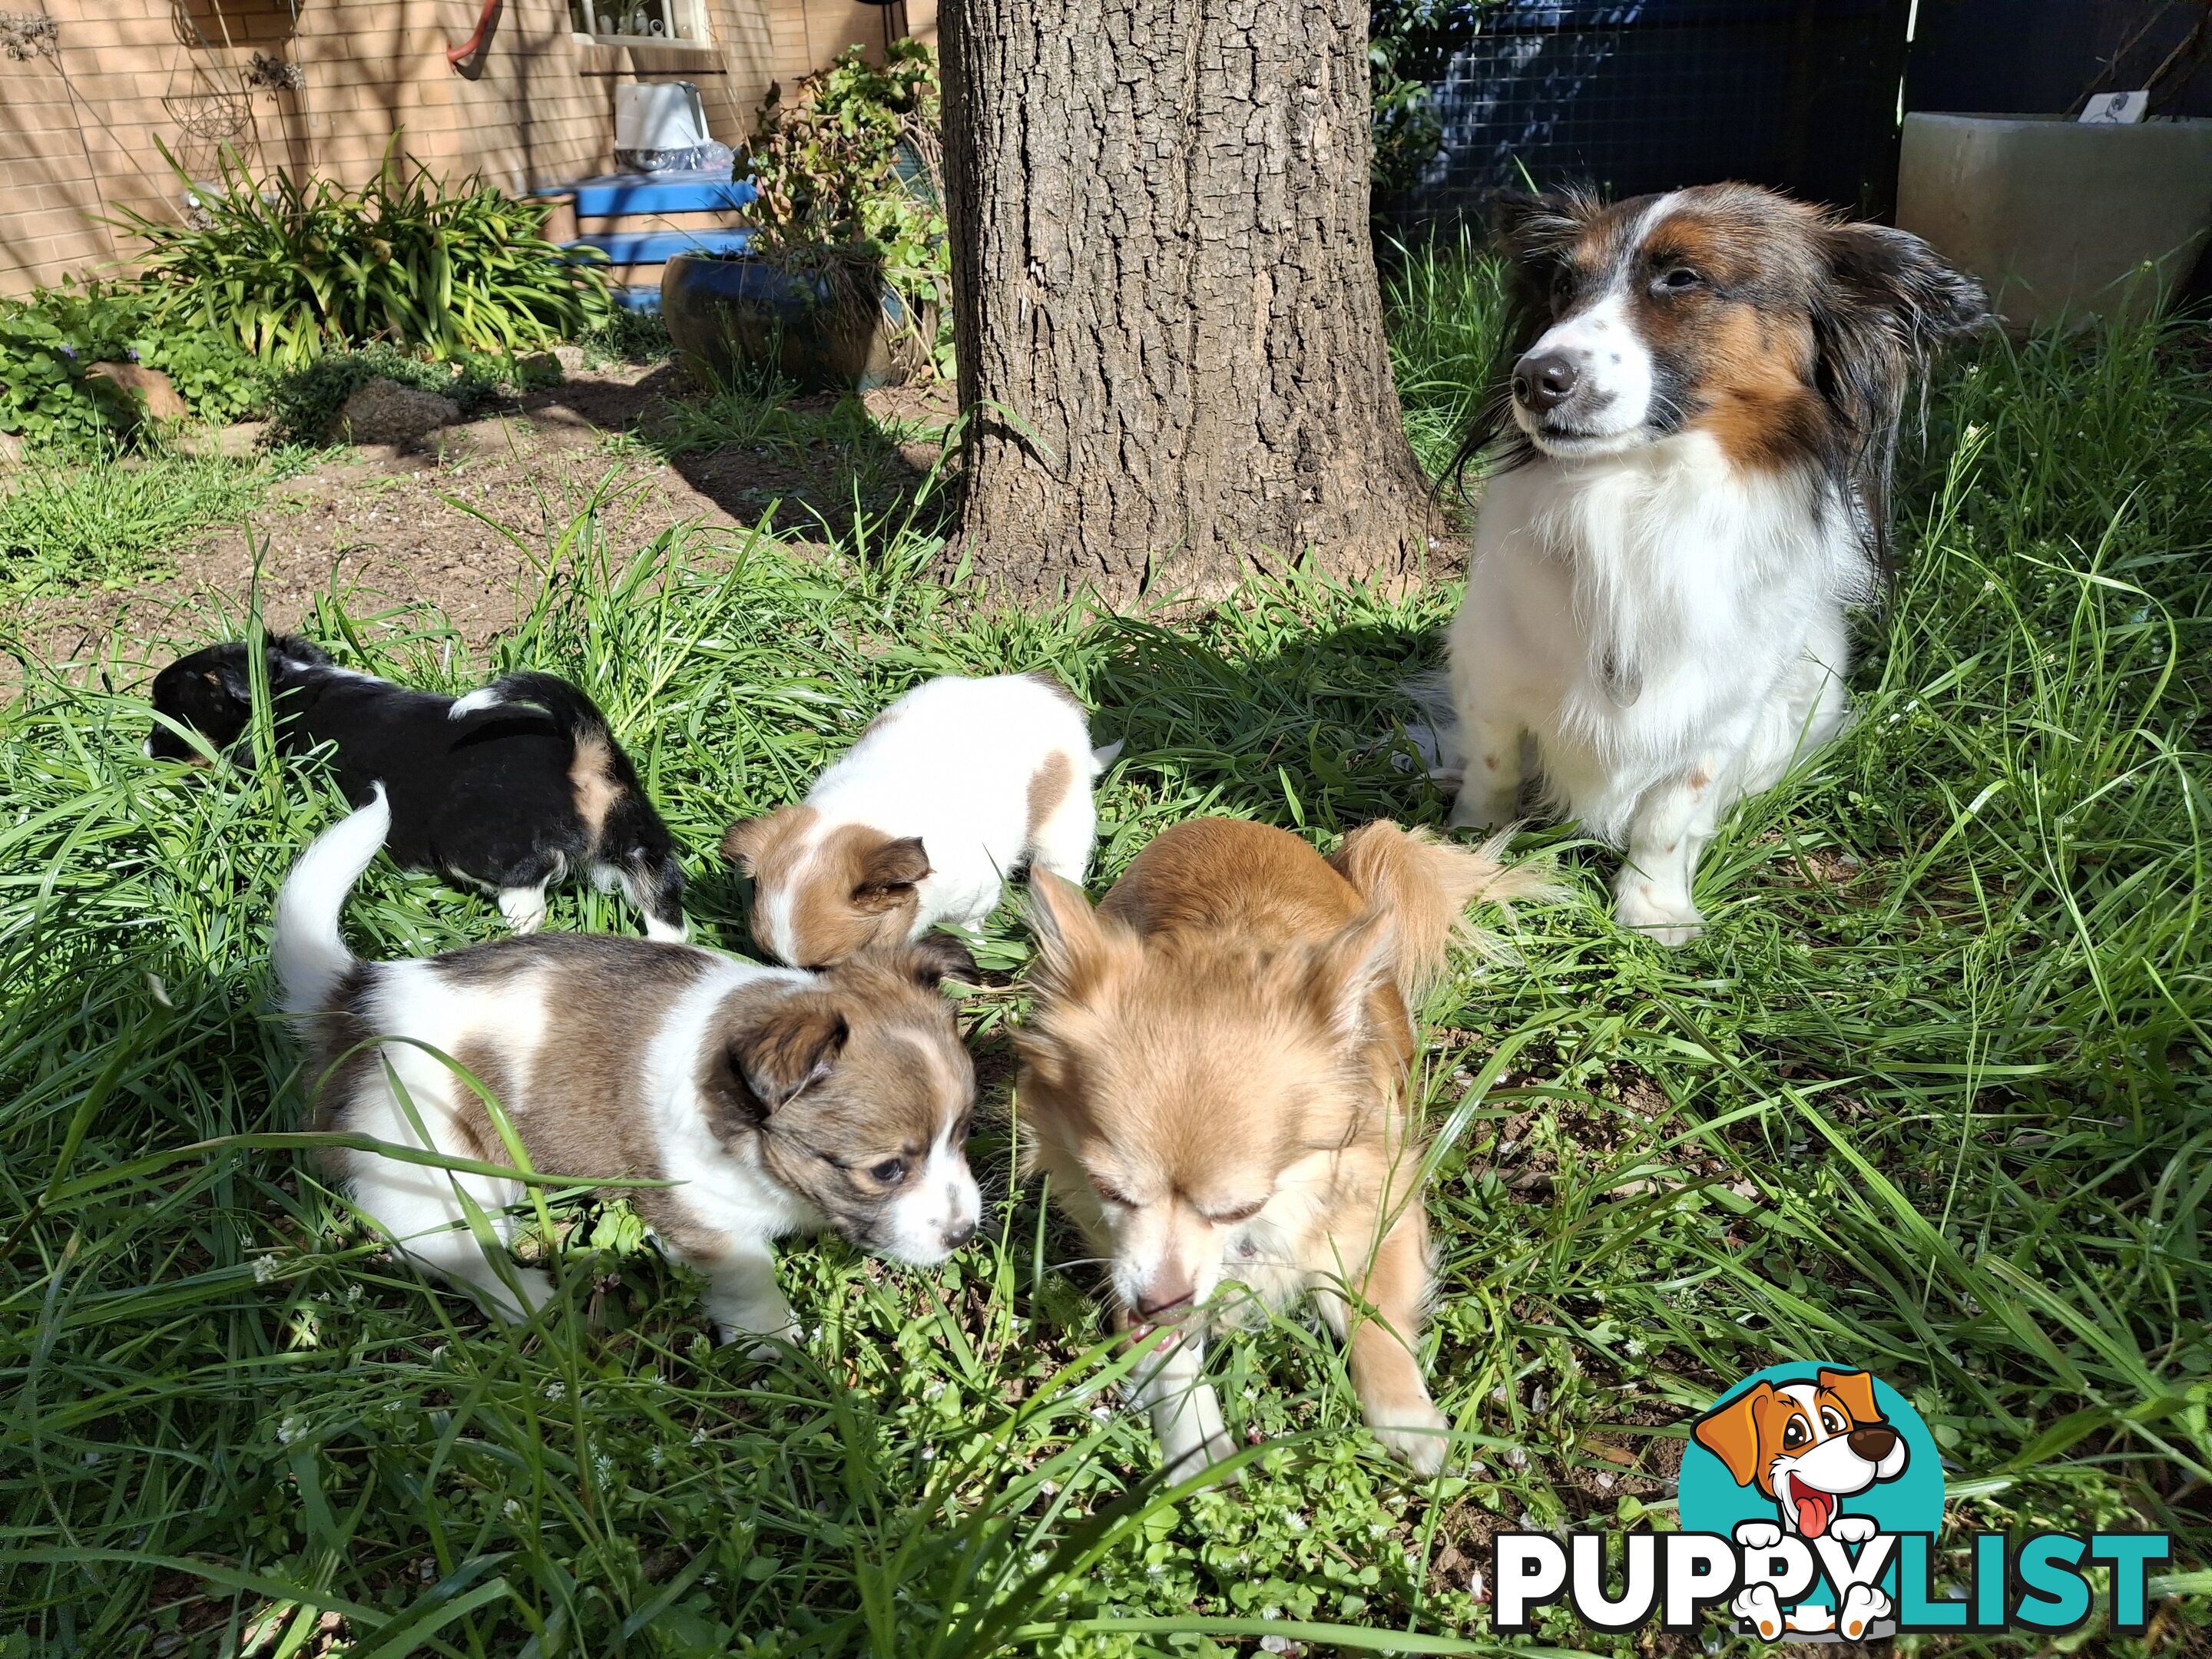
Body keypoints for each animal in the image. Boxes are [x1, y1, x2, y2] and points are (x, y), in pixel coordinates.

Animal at [152, 637, 685, 942]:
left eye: (166, 719)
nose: (145, 750)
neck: (286, 683)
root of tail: (580, 756)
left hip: (479, 848)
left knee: (528, 896)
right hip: (642, 845)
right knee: (665, 914)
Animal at [272, 787, 982, 1345]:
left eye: (963, 1132)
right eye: (886, 1170)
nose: (966, 1234)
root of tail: (361, 998)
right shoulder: (707, 1217)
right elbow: (750, 1278)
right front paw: (774, 1339)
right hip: (434, 1175)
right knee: (456, 1253)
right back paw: (529, 1298)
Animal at [1013, 818, 1557, 1477]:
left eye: (1240, 1209)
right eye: (1108, 1192)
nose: (1160, 1301)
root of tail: (1229, 822)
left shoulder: (1384, 1208)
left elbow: (1375, 1314)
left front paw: (1407, 1418)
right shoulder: (1126, 1267)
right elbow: (1168, 1360)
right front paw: (1195, 1446)